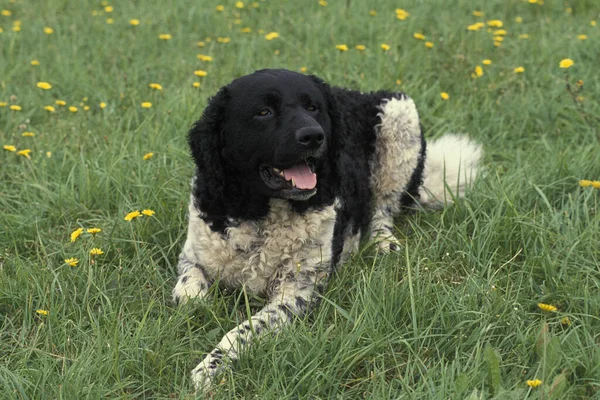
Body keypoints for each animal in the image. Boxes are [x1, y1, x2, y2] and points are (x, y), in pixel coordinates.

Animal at [171, 68, 480, 390]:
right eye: (263, 112)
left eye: (313, 108)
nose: (313, 135)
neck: (262, 216)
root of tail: (353, 93)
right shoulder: (193, 254)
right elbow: (188, 294)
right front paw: (199, 308)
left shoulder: (297, 292)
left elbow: (244, 330)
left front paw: (211, 366)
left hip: (399, 119)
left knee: (383, 207)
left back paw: (383, 242)